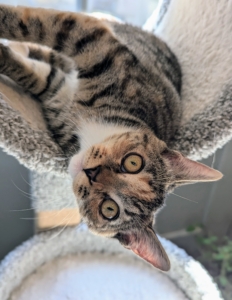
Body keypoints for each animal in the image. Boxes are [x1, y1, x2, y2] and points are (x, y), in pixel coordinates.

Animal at [0, 5, 222, 272]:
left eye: (109, 209)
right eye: (133, 162)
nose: (92, 172)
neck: (90, 128)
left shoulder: (58, 94)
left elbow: (39, 70)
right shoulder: (100, 49)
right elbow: (37, 28)